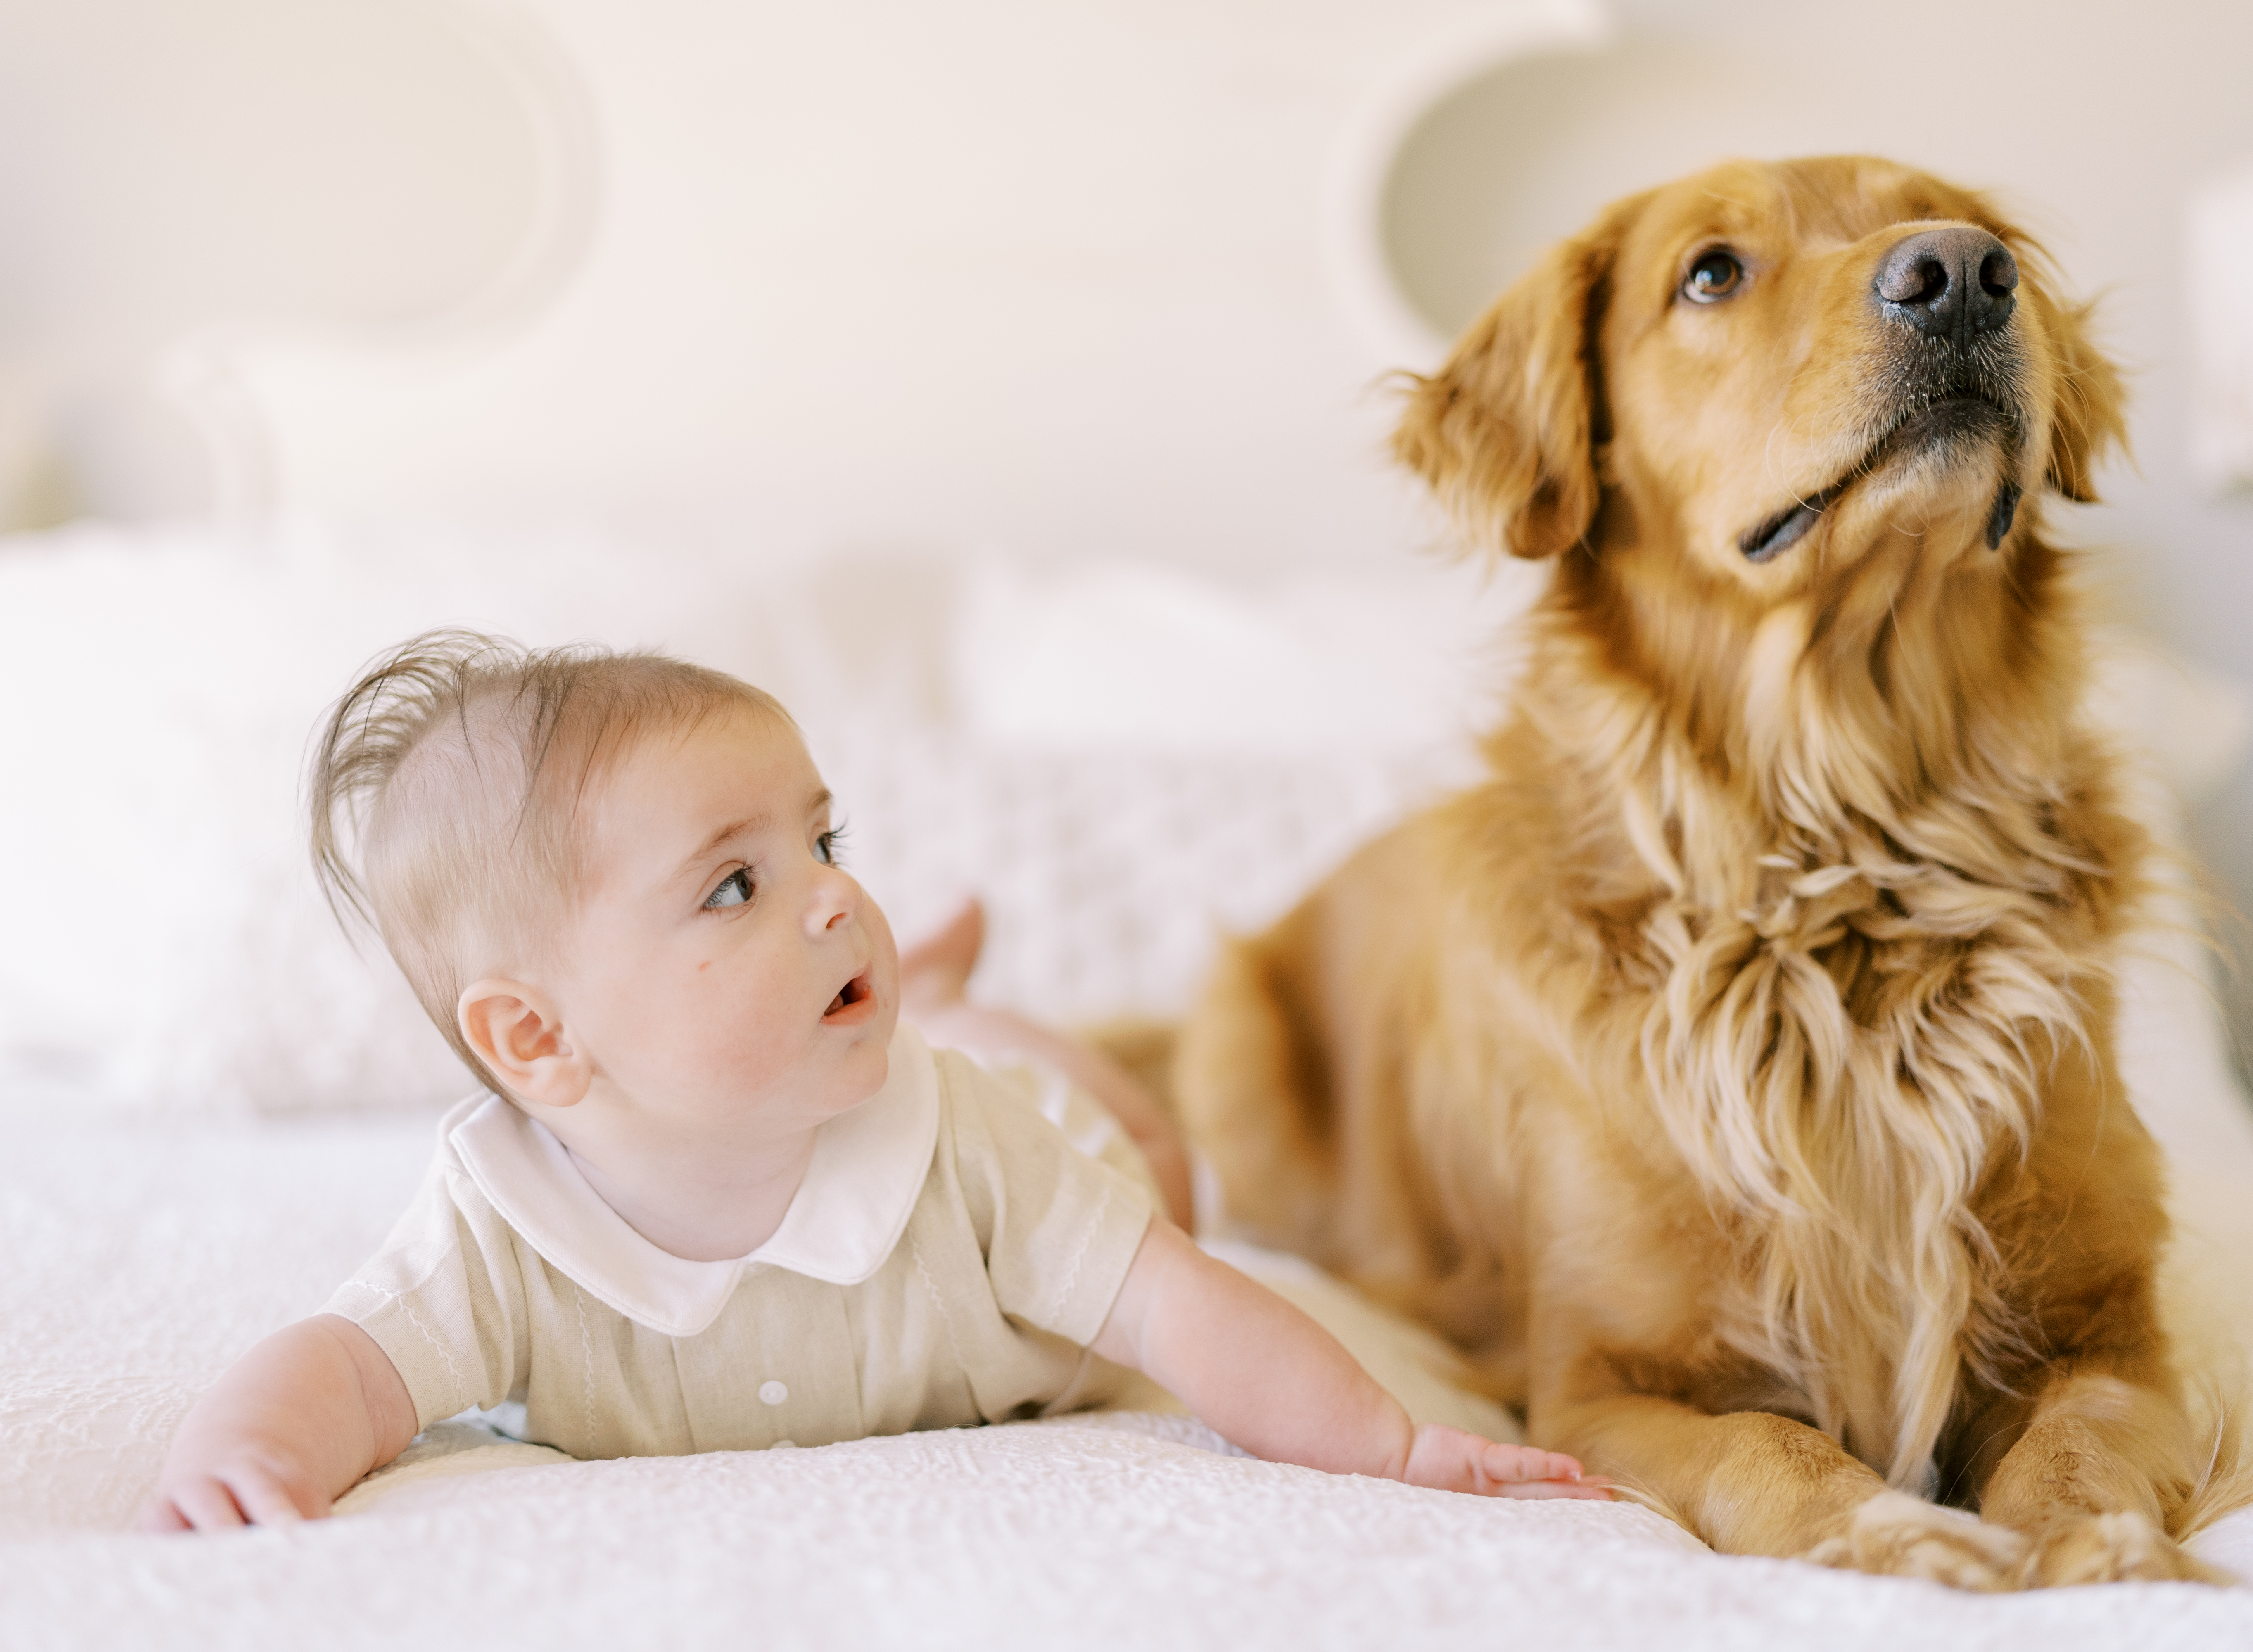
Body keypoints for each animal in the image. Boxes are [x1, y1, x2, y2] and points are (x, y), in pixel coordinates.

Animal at [1180, 154, 2235, 1586]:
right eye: (1711, 274)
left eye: (1985, 237)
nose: (1960, 274)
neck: (1848, 850)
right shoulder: (1599, 1383)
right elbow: (1764, 1445)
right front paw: (1891, 1533)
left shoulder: (2111, 1329)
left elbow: (2081, 1439)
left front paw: (2098, 1550)